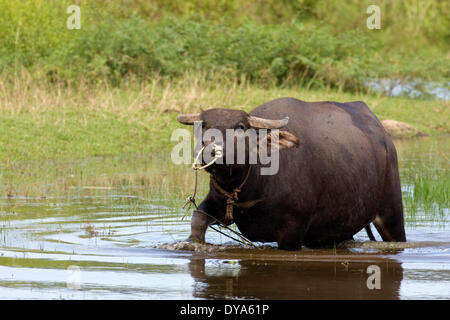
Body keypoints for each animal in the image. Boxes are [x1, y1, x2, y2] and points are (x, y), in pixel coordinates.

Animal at [177, 97, 408, 250]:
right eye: (204, 125)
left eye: (240, 126)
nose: (210, 149)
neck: (254, 185)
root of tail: (385, 138)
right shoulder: (219, 202)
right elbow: (197, 220)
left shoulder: (292, 231)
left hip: (391, 211)